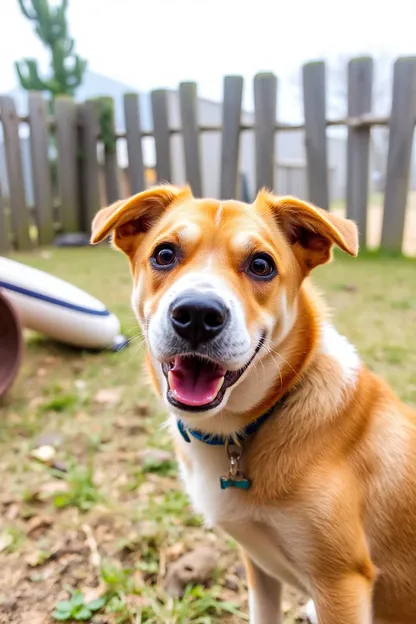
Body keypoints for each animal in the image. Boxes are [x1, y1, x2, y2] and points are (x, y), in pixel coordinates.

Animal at [92, 185, 416, 624]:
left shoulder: (341, 582)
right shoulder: (259, 563)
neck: (248, 425)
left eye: (261, 265)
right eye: (164, 254)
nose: (197, 314)